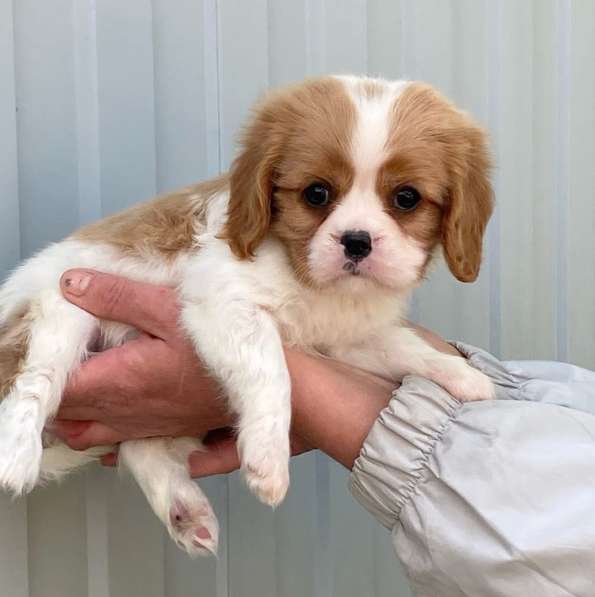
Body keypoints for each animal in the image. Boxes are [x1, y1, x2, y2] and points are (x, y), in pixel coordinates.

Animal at [0, 77, 494, 556]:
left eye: (406, 198)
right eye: (317, 193)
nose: (357, 241)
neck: (315, 284)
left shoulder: (344, 339)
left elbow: (405, 346)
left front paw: (463, 376)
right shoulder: (224, 303)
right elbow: (271, 370)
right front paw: (268, 457)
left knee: (142, 447)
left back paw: (185, 512)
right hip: (63, 308)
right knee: (35, 382)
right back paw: (18, 455)